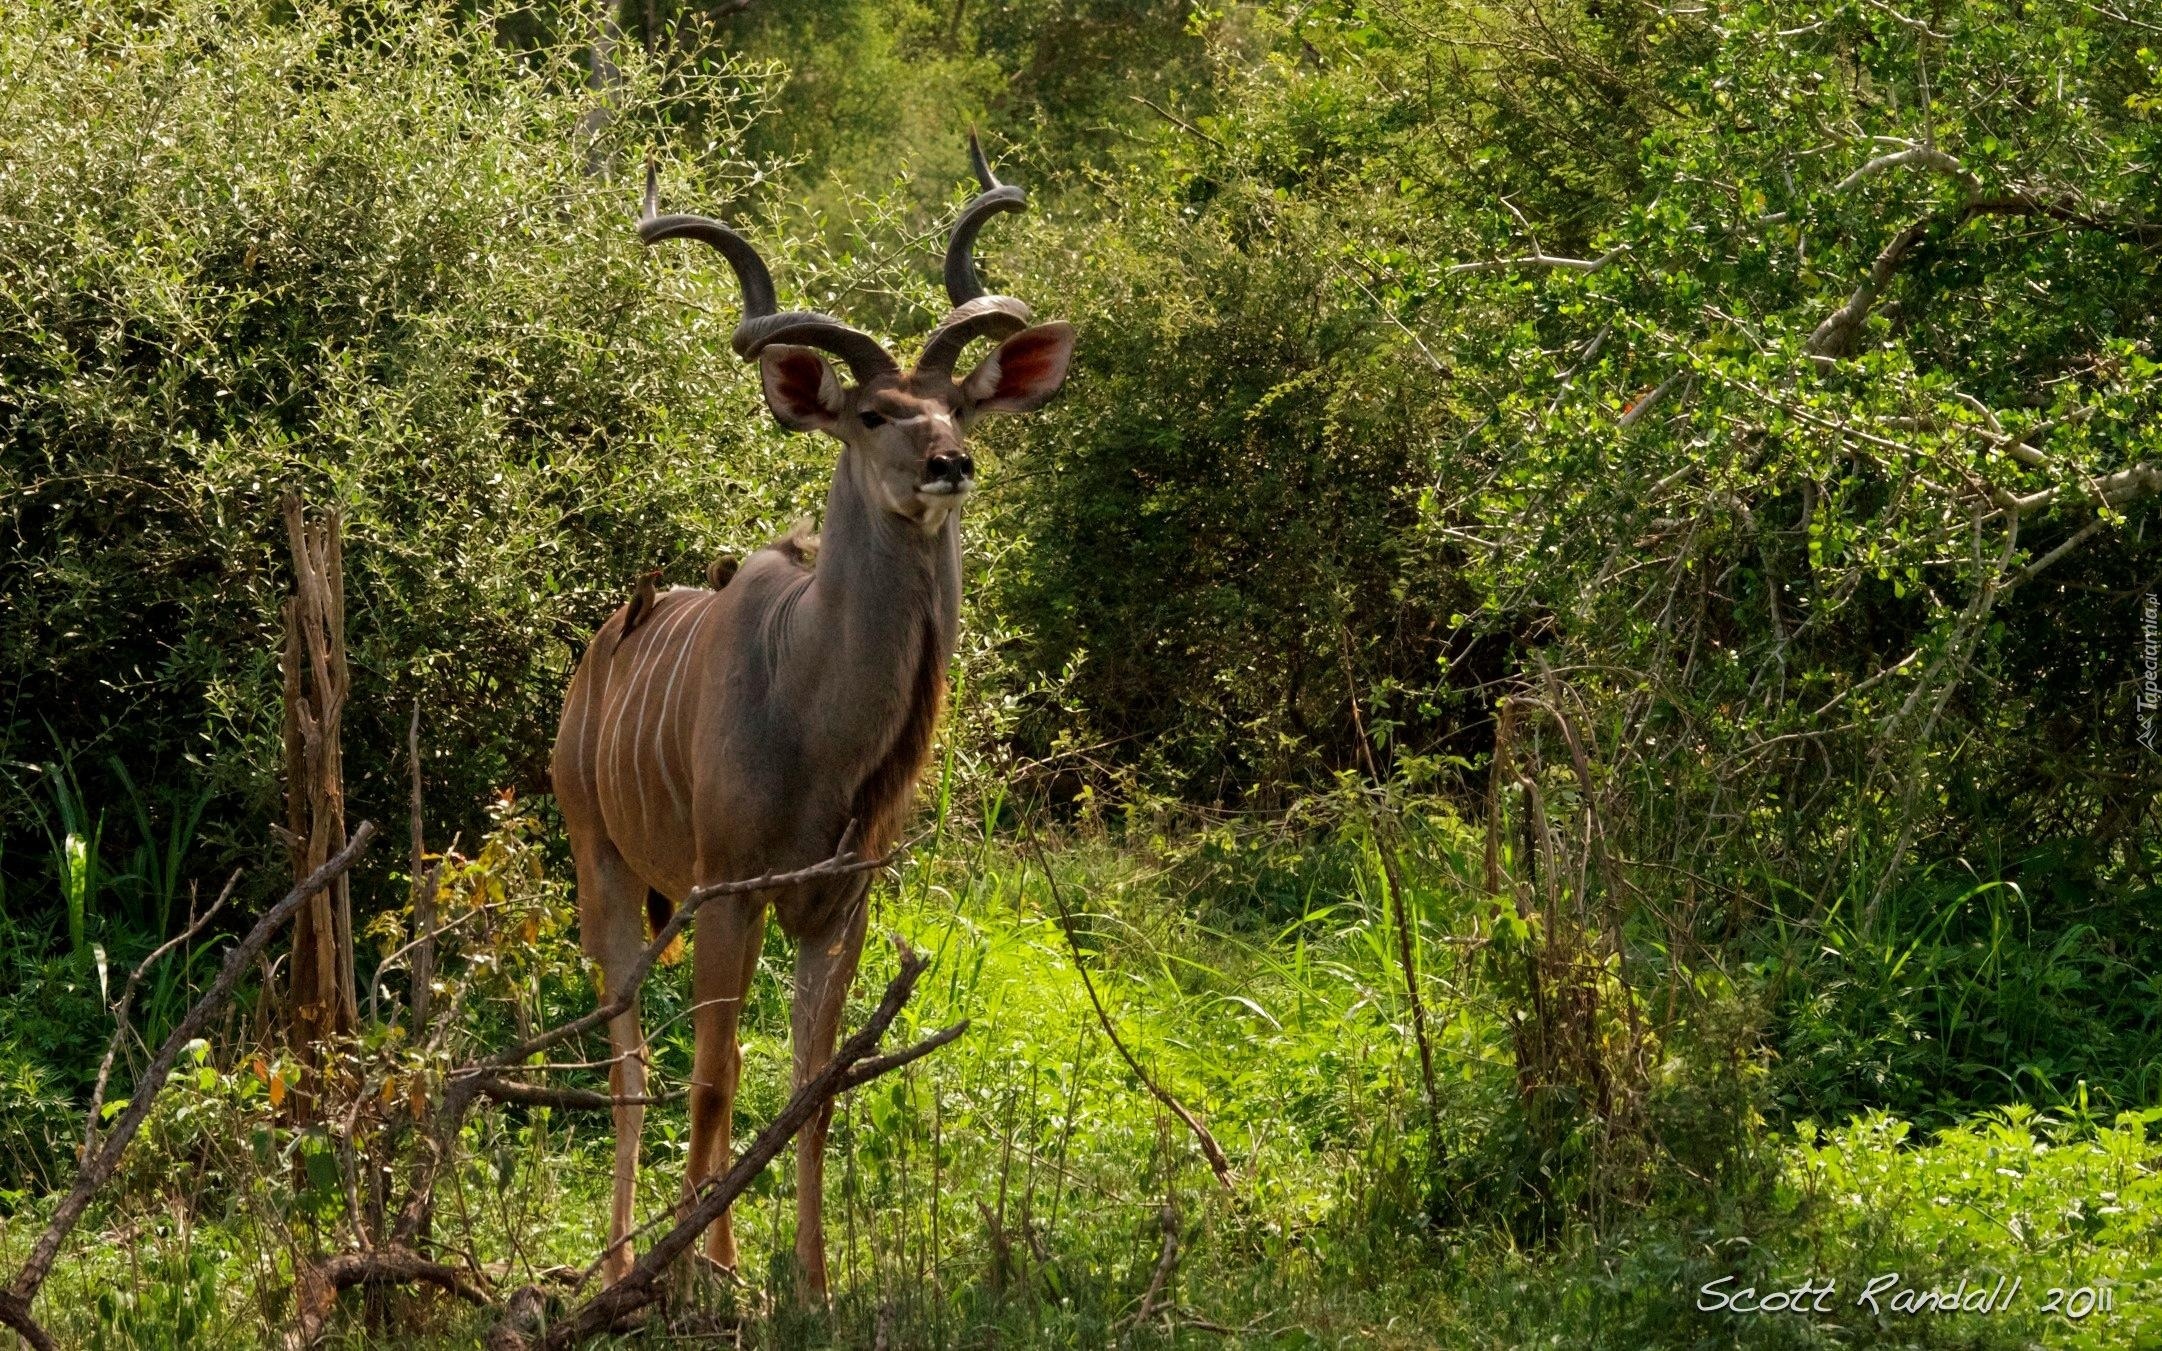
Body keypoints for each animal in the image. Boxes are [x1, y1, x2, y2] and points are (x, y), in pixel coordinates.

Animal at [549, 139, 1072, 1296]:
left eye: (958, 407)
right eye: (872, 414)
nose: (949, 464)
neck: (816, 721)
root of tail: (593, 658)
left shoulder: (839, 906)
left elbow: (809, 1087)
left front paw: (810, 1282)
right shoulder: (733, 892)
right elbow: (708, 1081)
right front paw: (690, 1281)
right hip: (603, 865)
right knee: (633, 1060)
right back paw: (622, 1262)